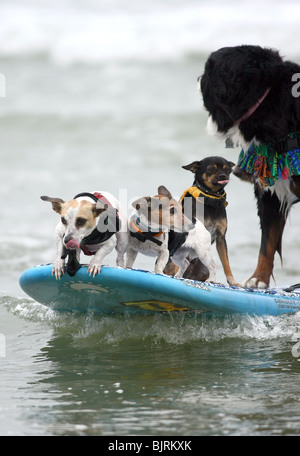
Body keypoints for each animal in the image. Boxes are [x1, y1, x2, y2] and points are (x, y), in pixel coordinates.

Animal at [164, 156, 239, 284]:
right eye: (210, 169)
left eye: (227, 169)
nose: (223, 176)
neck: (210, 198)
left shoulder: (221, 237)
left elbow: (226, 262)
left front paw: (232, 281)